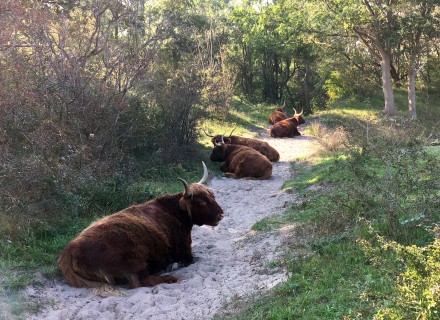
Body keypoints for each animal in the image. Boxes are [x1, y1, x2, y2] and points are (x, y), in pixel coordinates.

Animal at [57, 164, 223, 296]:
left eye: (212, 196)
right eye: (202, 202)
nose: (221, 214)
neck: (174, 211)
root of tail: (69, 251)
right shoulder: (185, 250)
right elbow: (190, 260)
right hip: (134, 260)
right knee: (141, 280)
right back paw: (171, 276)